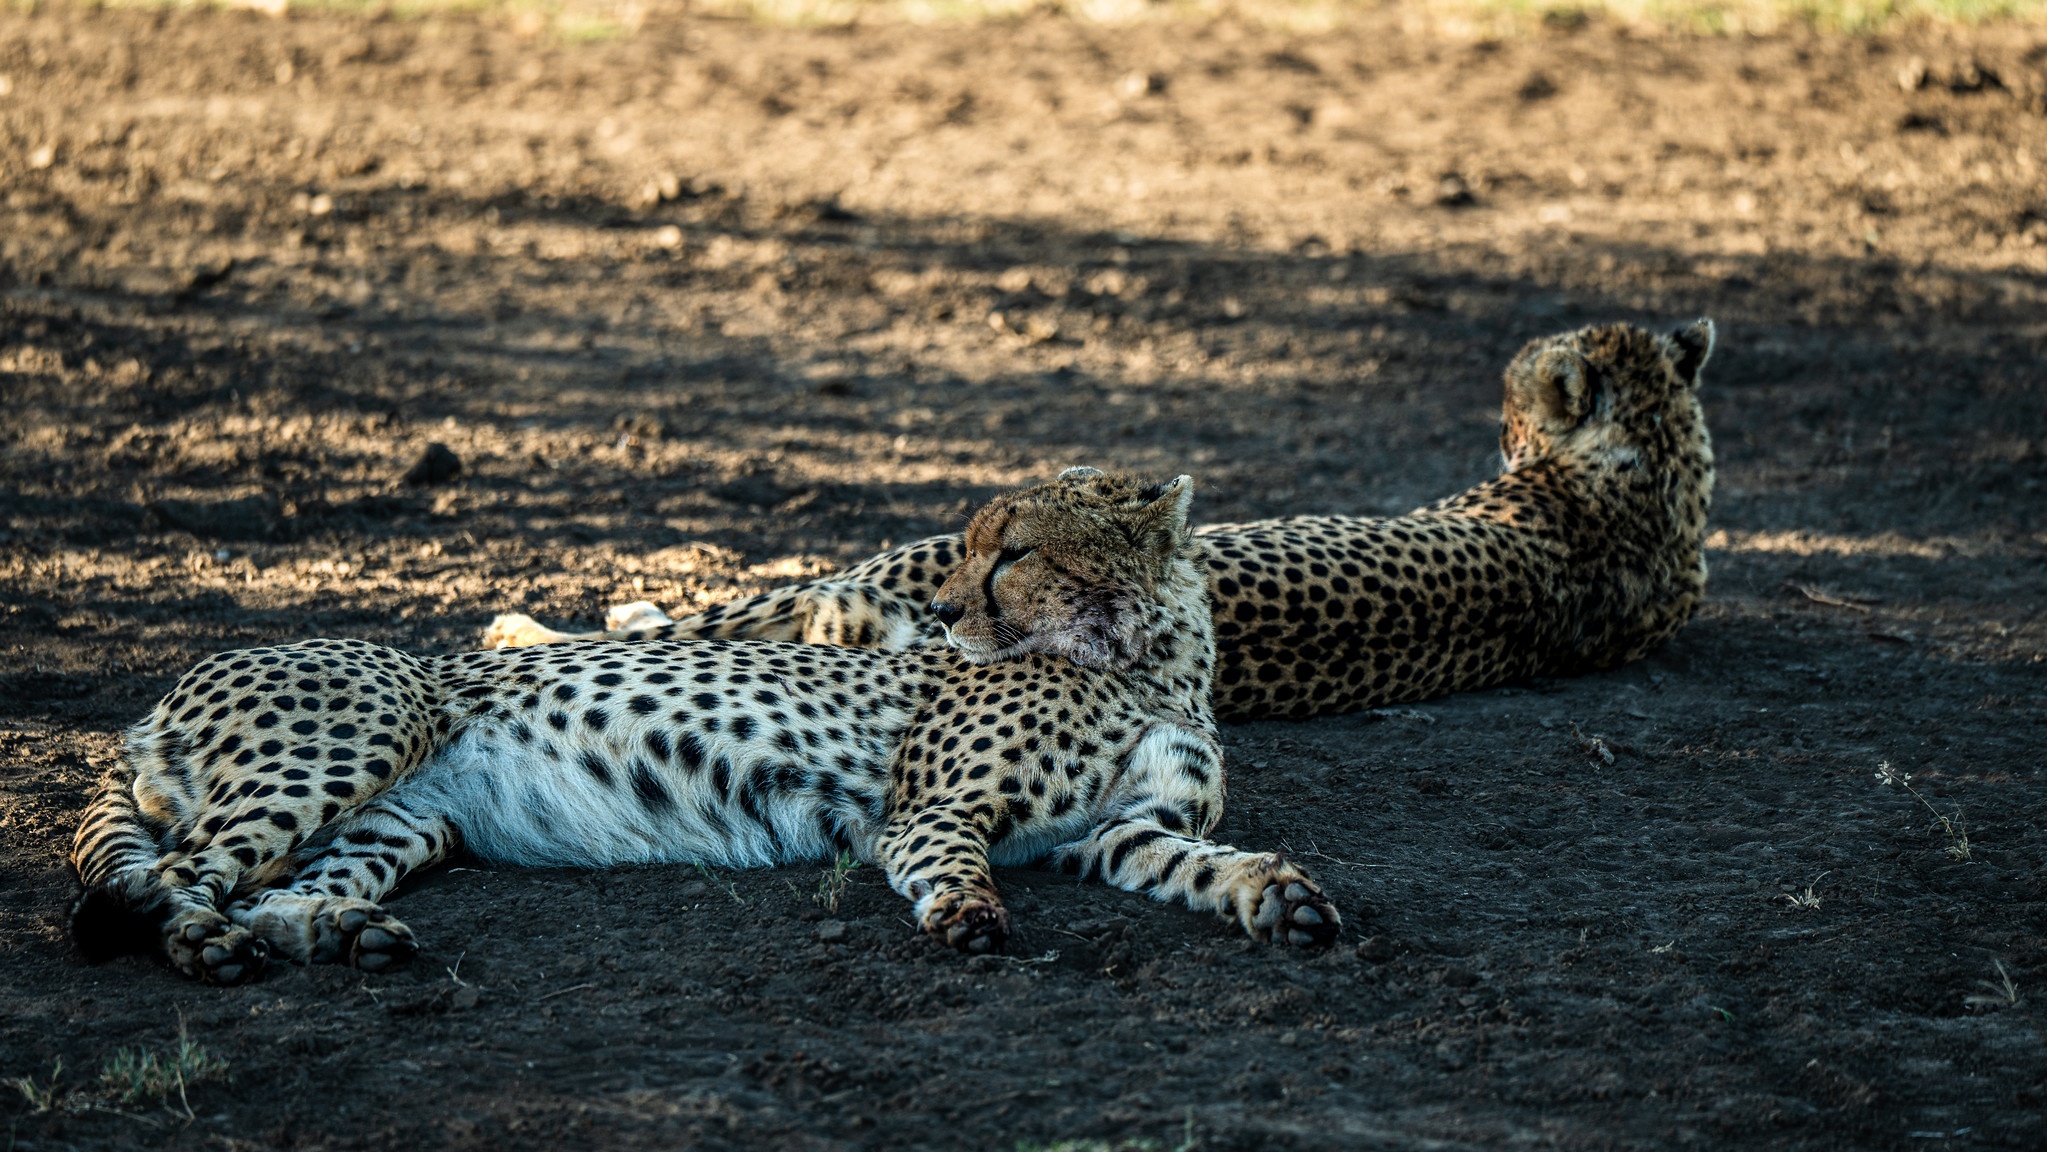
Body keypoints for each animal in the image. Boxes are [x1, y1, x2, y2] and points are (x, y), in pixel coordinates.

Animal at [68, 468, 1342, 982]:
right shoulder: (928, 810)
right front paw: (969, 918)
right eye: (969, 546)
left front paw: (1274, 897)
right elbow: (952, 864)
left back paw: (342, 936)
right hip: (367, 727)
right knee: (162, 884)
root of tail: (156, 698)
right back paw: (210, 951)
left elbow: (1199, 860)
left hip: (401, 822)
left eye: (1015, 551)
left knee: (267, 891)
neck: (1146, 665)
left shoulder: (1115, 834)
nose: (935, 610)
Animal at [487, 319, 1719, 720]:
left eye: (1511, 400)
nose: (1499, 420)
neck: (1648, 480)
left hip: (874, 573)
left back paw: (540, 625)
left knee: (718, 615)